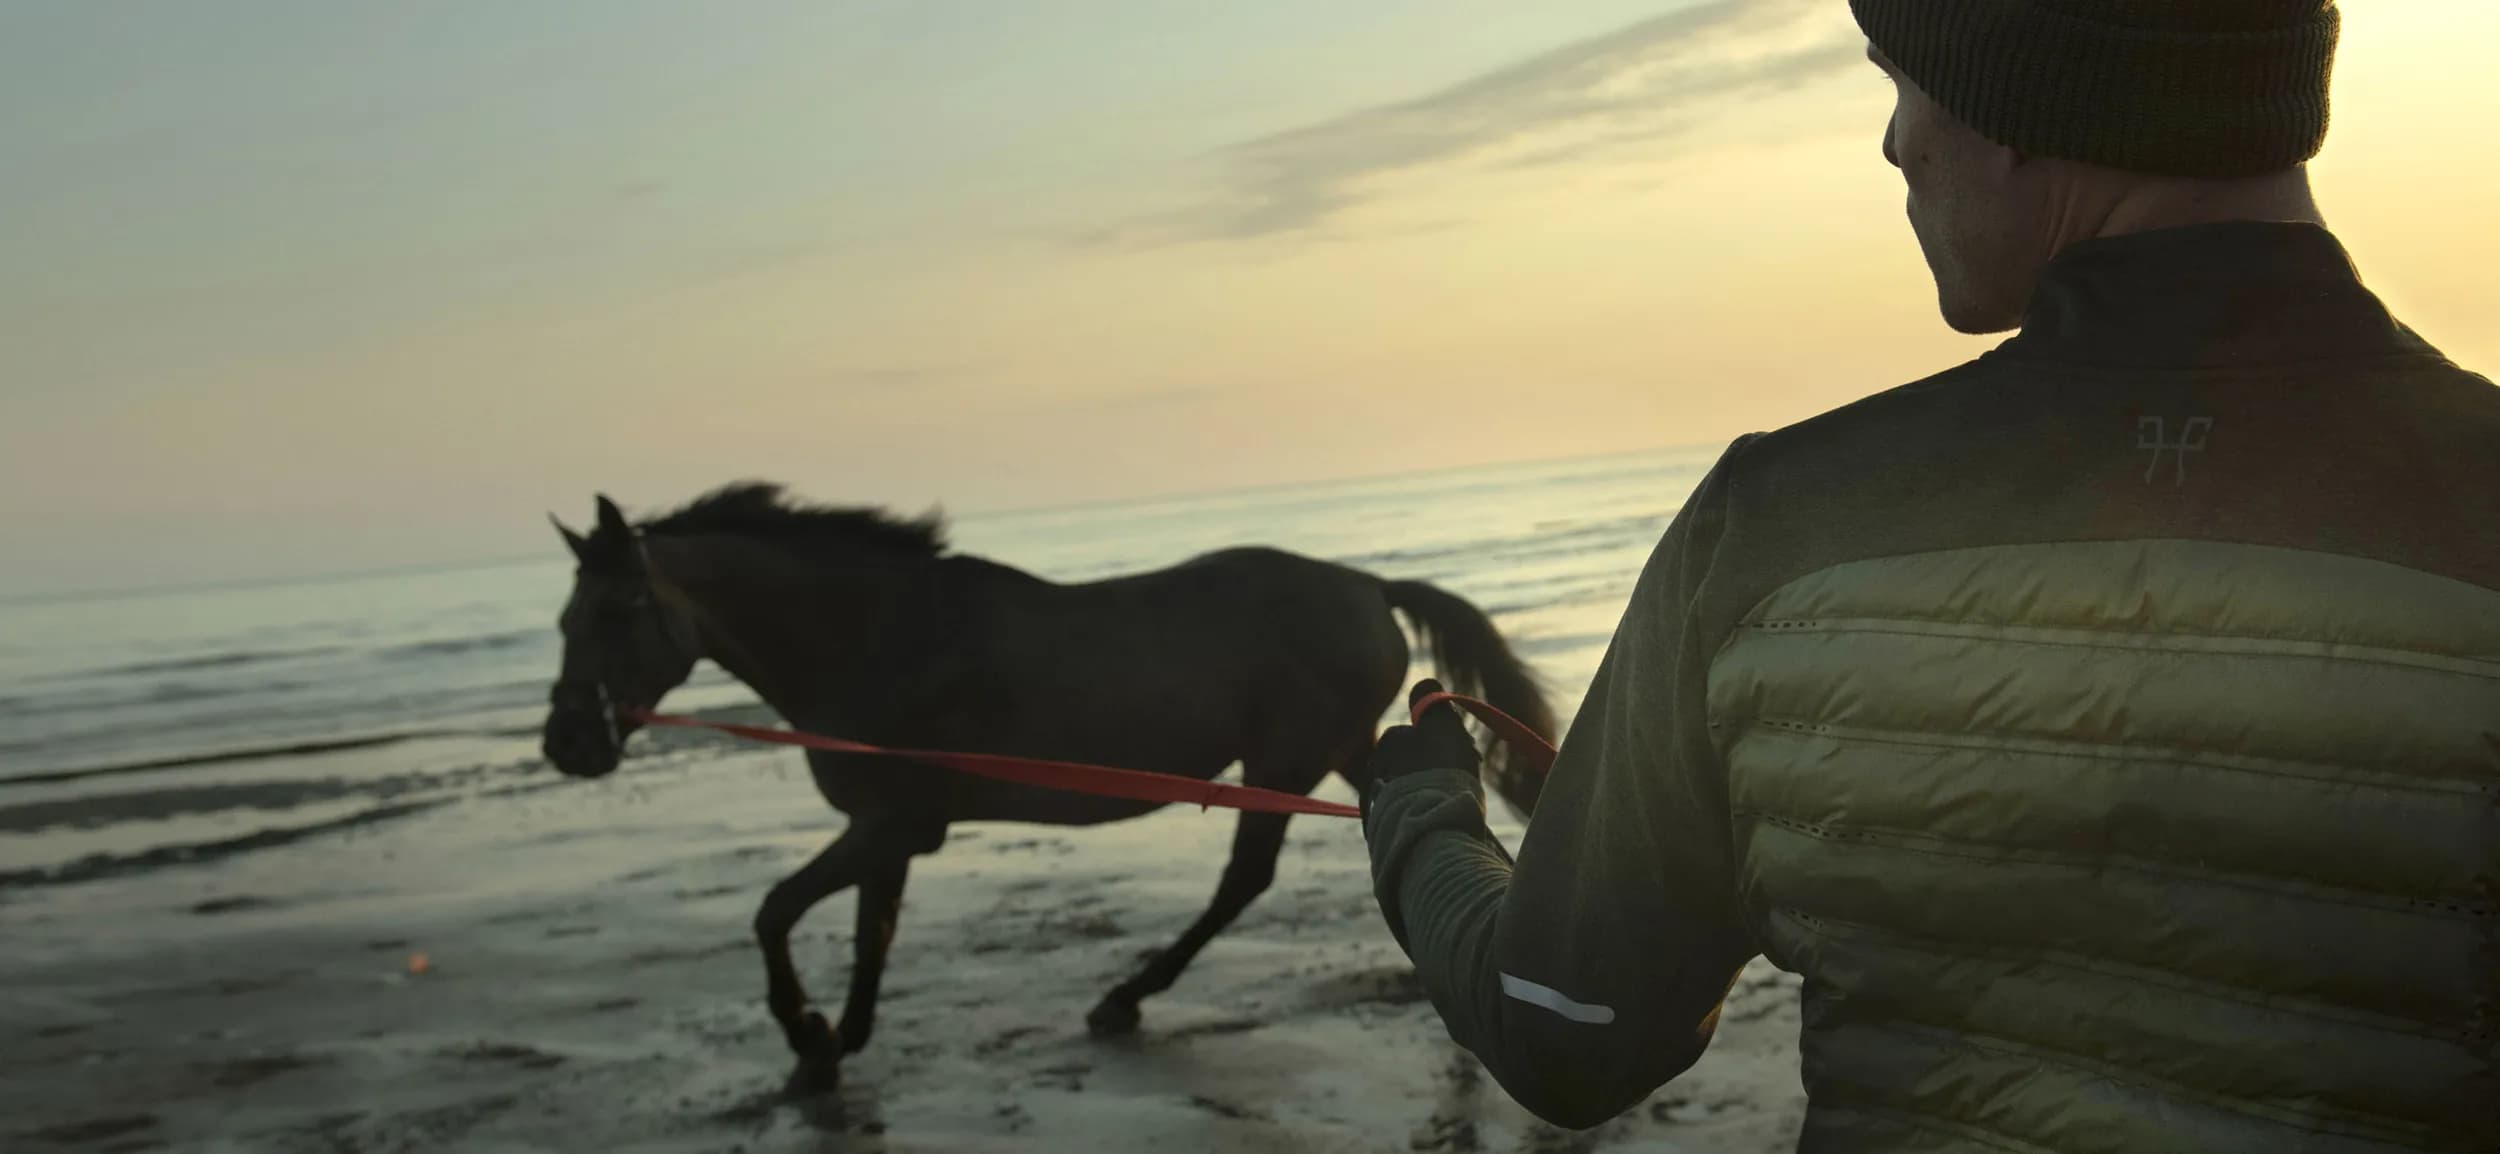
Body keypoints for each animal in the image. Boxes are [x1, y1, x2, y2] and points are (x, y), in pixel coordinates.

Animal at [545, 479, 1550, 1089]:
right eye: (563, 617)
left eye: (617, 610)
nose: (567, 743)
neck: (877, 641)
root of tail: (1369, 584)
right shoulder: (889, 832)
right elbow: (871, 933)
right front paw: (838, 1042)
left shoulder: (894, 825)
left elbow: (774, 911)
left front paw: (806, 1037)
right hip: (1342, 750)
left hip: (1288, 759)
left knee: (1245, 880)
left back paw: (1124, 997)